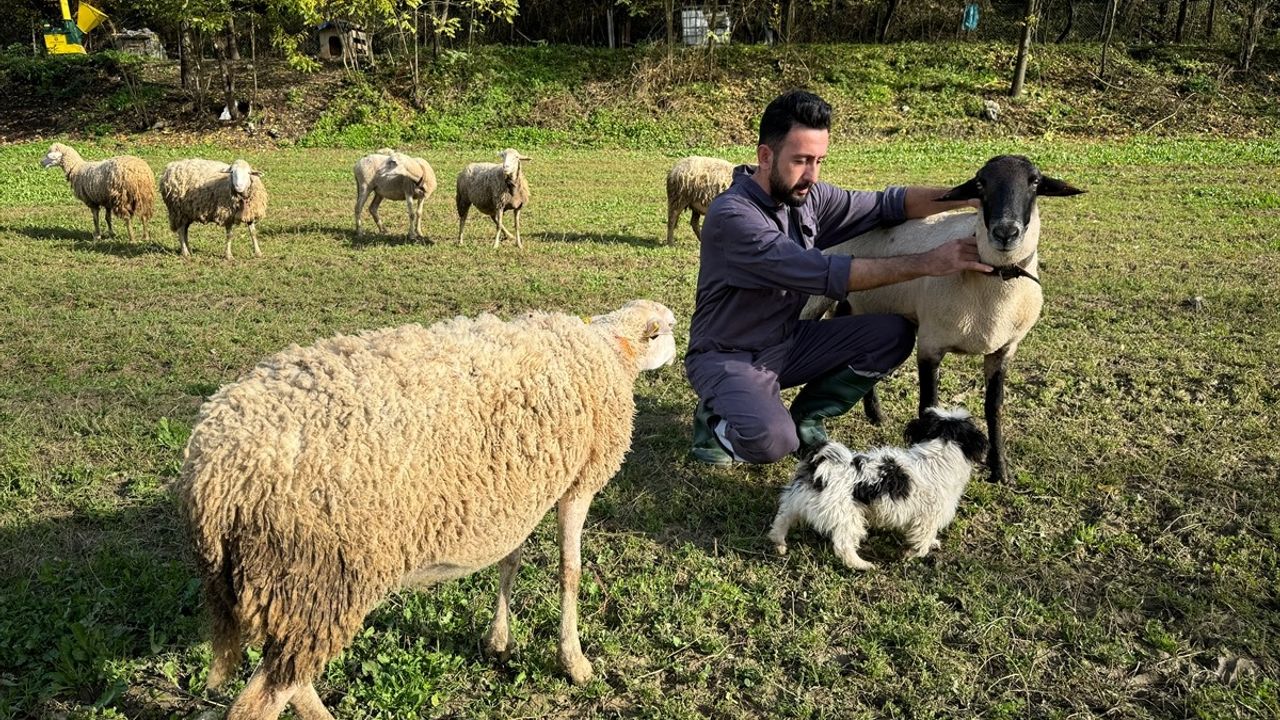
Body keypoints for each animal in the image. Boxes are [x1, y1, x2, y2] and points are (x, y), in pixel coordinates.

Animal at [177, 297, 680, 717]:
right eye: (664, 331)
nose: (679, 347)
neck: (606, 350)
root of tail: (208, 481)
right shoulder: (580, 482)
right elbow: (570, 572)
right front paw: (574, 662)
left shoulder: (518, 495)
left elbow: (510, 561)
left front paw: (498, 640)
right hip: (318, 579)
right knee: (259, 701)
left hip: (289, 595)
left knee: (291, 680)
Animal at [768, 407, 988, 568]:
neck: (940, 451)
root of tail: (821, 466)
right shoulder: (928, 518)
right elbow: (922, 540)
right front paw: (911, 554)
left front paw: (928, 545)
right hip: (848, 517)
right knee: (843, 546)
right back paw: (862, 565)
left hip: (797, 501)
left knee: (783, 518)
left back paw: (778, 542)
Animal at [798, 156, 1080, 481]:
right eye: (981, 183)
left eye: (1034, 181)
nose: (1005, 233)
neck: (993, 287)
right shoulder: (930, 344)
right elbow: (927, 406)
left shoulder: (1004, 350)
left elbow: (993, 407)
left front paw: (1000, 470)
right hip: (817, 300)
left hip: (862, 305)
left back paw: (875, 414)